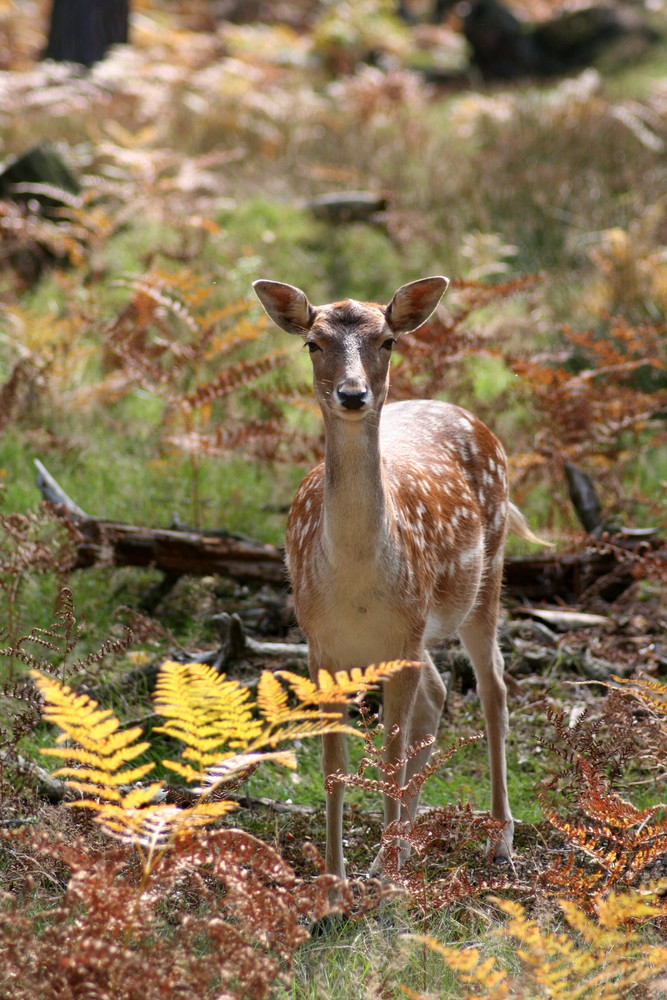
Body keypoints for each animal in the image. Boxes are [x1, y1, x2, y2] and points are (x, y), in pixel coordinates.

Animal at [254, 274, 548, 876]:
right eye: (312, 343)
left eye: (387, 340)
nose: (352, 394)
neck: (357, 587)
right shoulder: (319, 643)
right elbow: (334, 764)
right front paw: (335, 879)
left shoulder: (403, 634)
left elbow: (388, 754)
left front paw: (387, 883)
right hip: (422, 627)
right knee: (438, 692)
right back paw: (402, 844)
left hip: (485, 575)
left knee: (493, 687)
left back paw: (498, 839)